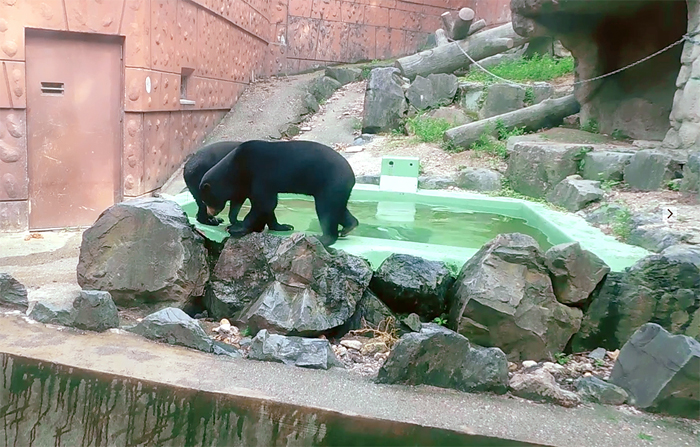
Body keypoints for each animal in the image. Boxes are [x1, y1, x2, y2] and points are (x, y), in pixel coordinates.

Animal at [198, 139, 358, 247]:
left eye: (206, 200)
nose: (210, 214)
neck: (236, 168)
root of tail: (351, 174)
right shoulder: (247, 184)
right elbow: (261, 204)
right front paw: (284, 226)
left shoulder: (259, 174)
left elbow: (264, 203)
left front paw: (237, 227)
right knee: (337, 207)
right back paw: (349, 226)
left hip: (331, 182)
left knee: (326, 209)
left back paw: (323, 238)